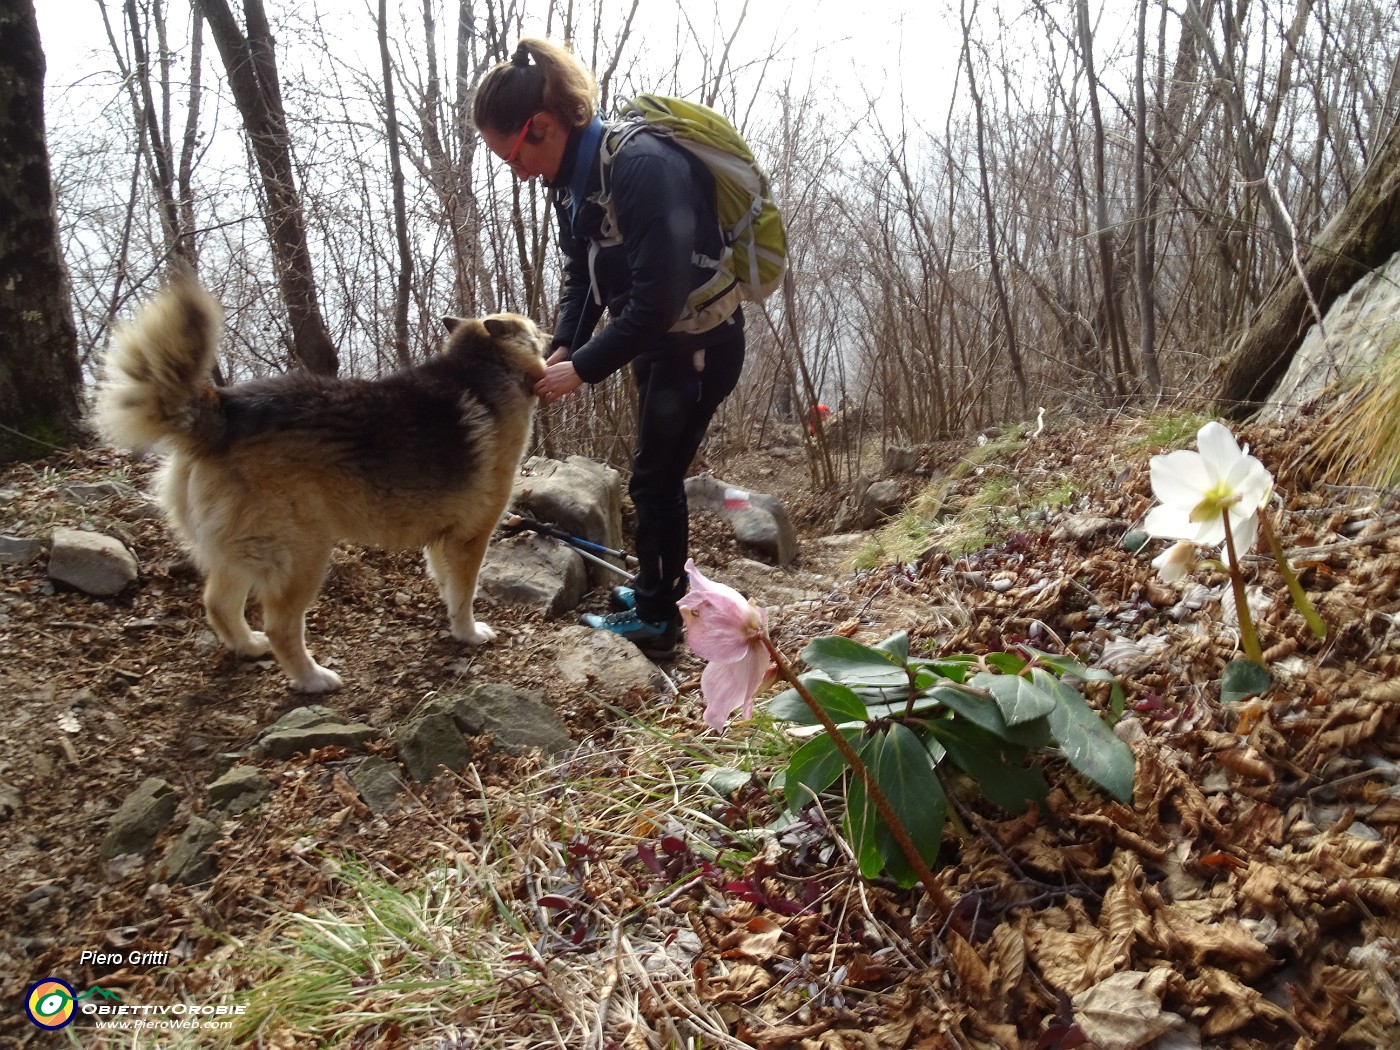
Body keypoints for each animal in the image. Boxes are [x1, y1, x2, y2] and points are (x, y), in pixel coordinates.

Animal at [97, 275, 546, 694]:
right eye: (535, 328)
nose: (551, 336)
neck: (486, 365)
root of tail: (224, 412)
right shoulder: (471, 537)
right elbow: (465, 592)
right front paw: (469, 633)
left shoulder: (442, 538)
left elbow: (448, 587)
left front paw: (452, 622)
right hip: (303, 555)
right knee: (280, 626)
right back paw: (312, 678)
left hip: (241, 554)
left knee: (219, 605)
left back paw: (249, 647)